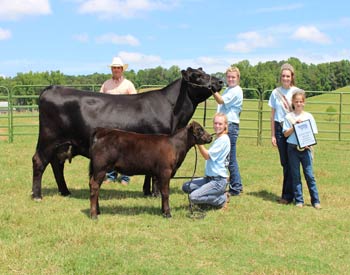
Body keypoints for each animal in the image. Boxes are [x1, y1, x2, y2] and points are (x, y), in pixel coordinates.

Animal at [31, 67, 223, 201]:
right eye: (197, 75)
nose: (220, 81)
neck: (173, 110)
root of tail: (51, 88)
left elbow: (149, 172)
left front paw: (147, 192)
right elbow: (155, 175)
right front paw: (156, 194)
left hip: (63, 144)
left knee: (57, 165)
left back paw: (65, 191)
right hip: (48, 139)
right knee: (39, 161)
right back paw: (37, 195)